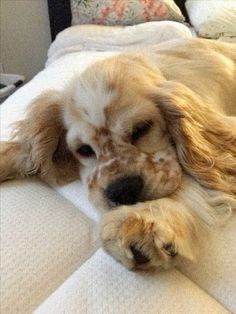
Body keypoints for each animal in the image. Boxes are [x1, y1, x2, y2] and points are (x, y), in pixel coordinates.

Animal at [0, 38, 236, 270]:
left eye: (142, 128)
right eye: (83, 149)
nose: (123, 191)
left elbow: (192, 178)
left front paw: (146, 221)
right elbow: (29, 149)